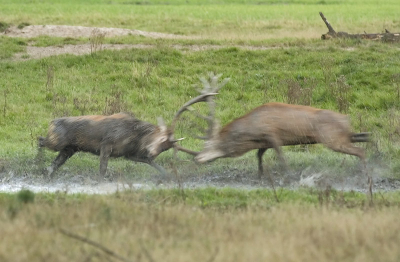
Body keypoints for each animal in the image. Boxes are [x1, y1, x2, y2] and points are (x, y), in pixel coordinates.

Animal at [38, 89, 217, 178]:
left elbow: (150, 163)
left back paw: (47, 173)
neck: (134, 137)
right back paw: (37, 162)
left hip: (69, 149)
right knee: (40, 139)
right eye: (162, 139)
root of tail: (51, 122)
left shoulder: (128, 153)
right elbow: (102, 169)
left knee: (55, 162)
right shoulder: (107, 143)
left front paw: (167, 175)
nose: (153, 152)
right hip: (57, 142)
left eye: (166, 148)